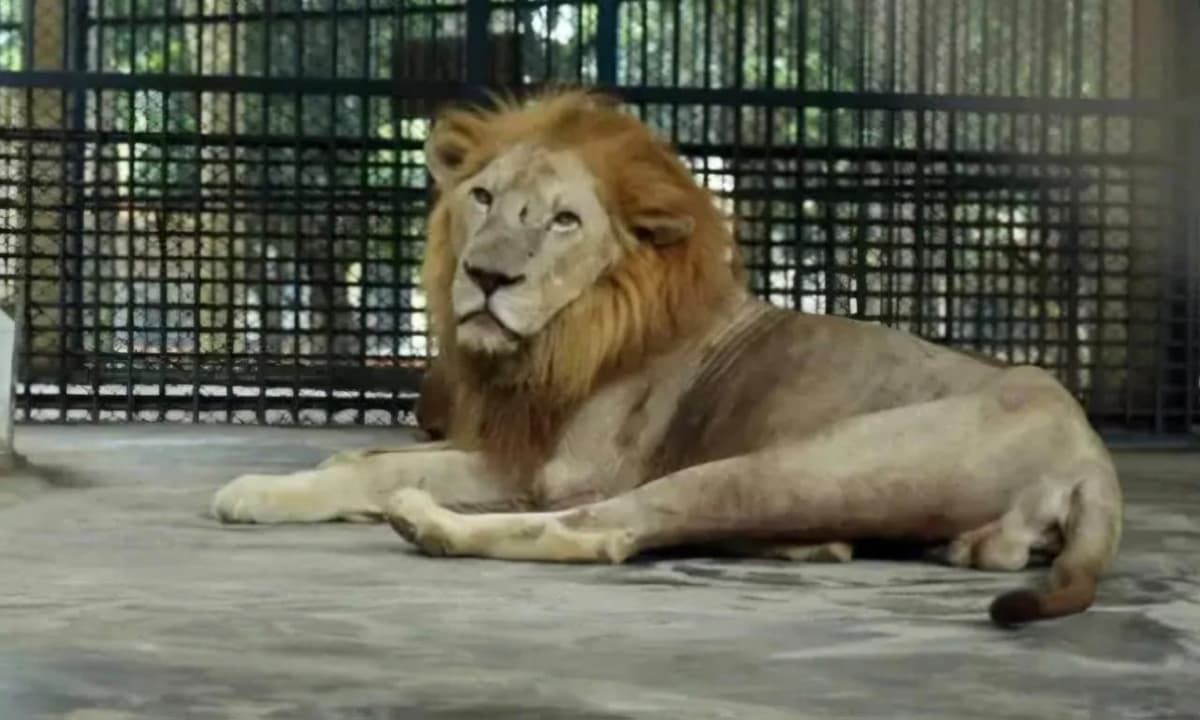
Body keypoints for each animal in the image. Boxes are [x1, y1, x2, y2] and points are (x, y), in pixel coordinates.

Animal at [211, 90, 1123, 627]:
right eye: (482, 198)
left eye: (564, 221)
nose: (488, 277)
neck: (566, 334)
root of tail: (1090, 456)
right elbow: (358, 454)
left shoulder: (557, 471)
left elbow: (377, 470)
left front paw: (257, 491)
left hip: (790, 463)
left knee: (609, 529)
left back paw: (426, 523)